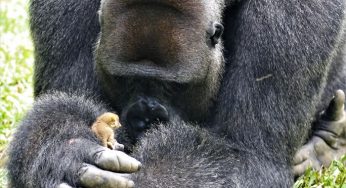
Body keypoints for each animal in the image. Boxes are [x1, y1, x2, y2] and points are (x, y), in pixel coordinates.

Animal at [6, 0, 346, 187]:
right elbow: (67, 103)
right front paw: (63, 149)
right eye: (126, 80)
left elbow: (246, 155)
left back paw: (327, 142)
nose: (147, 118)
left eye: (174, 86)